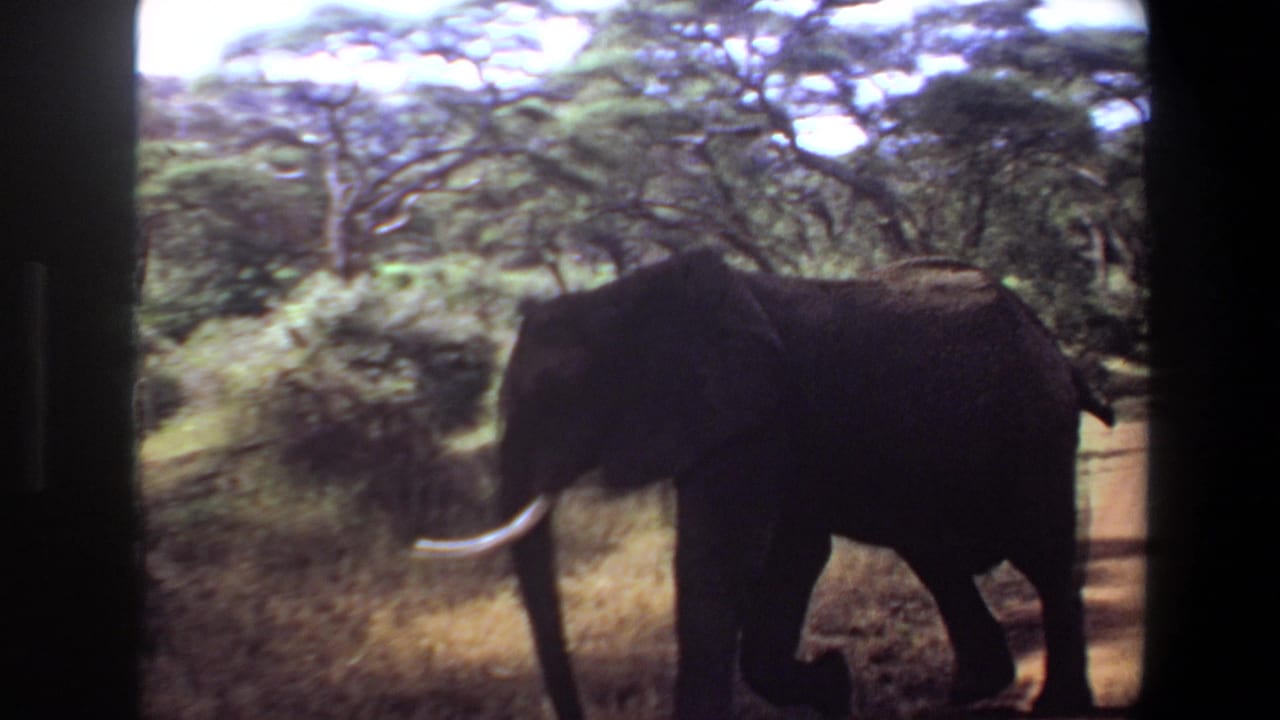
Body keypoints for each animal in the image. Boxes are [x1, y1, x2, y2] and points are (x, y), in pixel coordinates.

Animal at [414, 249, 1113, 719]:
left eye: (556, 393)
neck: (626, 293)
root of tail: (1054, 345)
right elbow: (790, 555)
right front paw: (834, 686)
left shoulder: (753, 415)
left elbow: (720, 561)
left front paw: (828, 681)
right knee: (935, 555)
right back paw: (972, 692)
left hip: (1036, 428)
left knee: (1045, 557)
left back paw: (1056, 706)